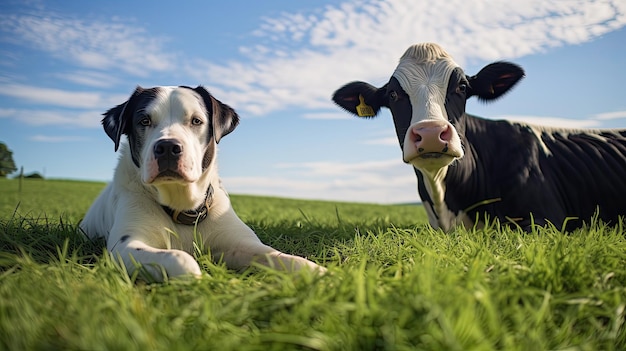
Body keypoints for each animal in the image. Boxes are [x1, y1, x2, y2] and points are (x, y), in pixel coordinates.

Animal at [80, 86, 324, 282]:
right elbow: (181, 258)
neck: (183, 208)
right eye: (144, 121)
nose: (167, 147)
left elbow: (282, 257)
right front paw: (198, 276)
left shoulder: (242, 244)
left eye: (196, 121)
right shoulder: (125, 245)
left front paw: (320, 273)